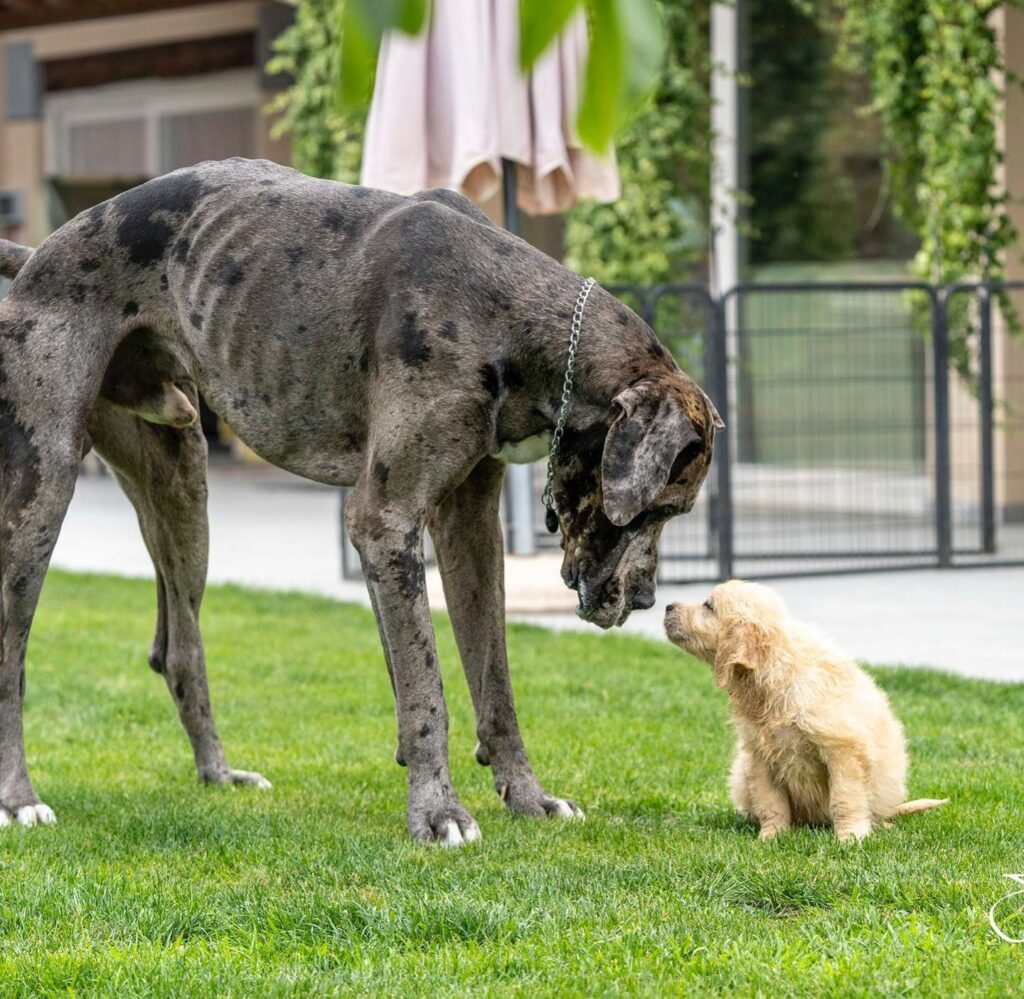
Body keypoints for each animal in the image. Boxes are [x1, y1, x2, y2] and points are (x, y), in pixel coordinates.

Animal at [0, 155, 716, 843]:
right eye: (657, 511)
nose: (646, 599)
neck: (505, 317)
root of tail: (38, 255)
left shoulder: (470, 526)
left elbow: (494, 680)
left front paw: (528, 797)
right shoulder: (384, 519)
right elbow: (427, 683)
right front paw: (437, 813)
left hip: (181, 489)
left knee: (180, 649)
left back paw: (218, 773)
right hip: (41, 492)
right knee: (14, 652)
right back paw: (20, 799)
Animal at [663, 581, 942, 839]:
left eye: (708, 606)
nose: (667, 606)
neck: (776, 673)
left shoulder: (844, 750)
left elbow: (845, 798)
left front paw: (851, 836)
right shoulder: (759, 757)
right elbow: (770, 802)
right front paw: (772, 836)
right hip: (741, 773)